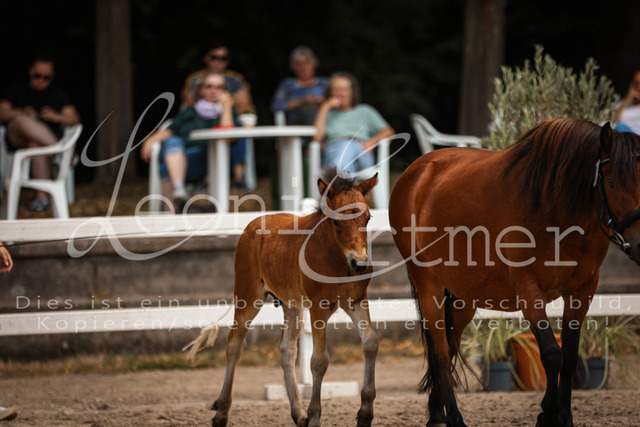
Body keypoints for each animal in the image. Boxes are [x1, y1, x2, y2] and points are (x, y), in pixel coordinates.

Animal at [184, 171, 380, 427]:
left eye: (368, 218)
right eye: (336, 221)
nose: (360, 263)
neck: (338, 259)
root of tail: (252, 224)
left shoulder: (356, 301)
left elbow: (370, 343)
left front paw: (364, 414)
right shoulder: (319, 308)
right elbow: (319, 361)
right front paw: (315, 416)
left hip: (292, 304)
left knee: (286, 349)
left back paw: (299, 414)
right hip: (248, 296)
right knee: (235, 344)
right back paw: (221, 413)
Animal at [388, 119, 640, 427]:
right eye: (612, 183)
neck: (555, 208)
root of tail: (417, 171)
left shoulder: (583, 291)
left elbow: (570, 357)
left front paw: (563, 416)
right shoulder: (529, 291)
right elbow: (552, 354)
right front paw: (548, 413)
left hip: (463, 296)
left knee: (450, 344)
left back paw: (437, 413)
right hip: (428, 285)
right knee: (440, 351)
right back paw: (454, 418)